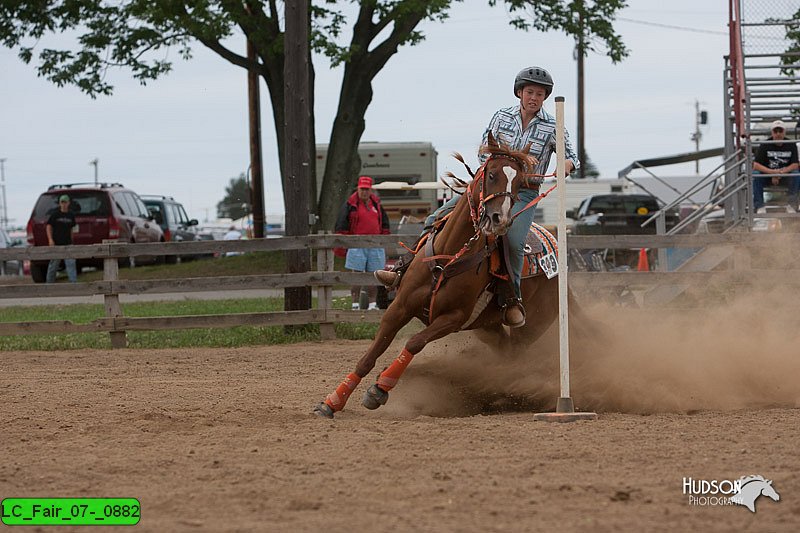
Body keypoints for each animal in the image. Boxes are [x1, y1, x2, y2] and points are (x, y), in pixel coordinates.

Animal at [316, 131, 564, 418]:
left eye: (519, 182)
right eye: (491, 174)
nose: (500, 220)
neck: (448, 257)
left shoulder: (452, 318)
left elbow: (414, 343)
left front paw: (380, 388)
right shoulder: (398, 308)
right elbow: (369, 356)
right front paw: (332, 401)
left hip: (533, 325)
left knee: (515, 358)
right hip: (489, 328)